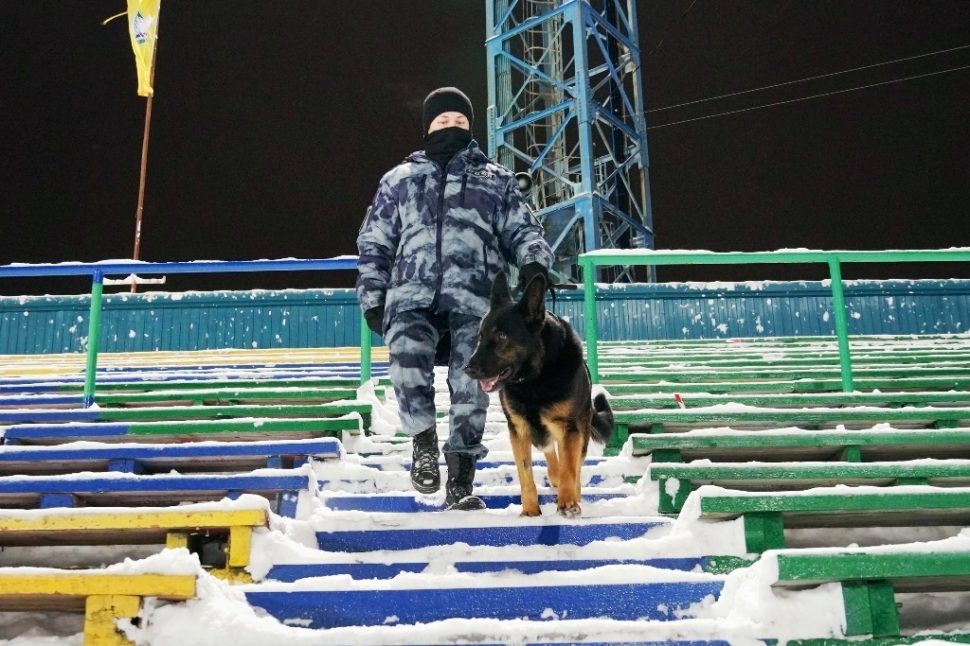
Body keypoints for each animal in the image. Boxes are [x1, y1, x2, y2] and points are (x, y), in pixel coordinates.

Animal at [464, 272, 612, 516]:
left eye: (502, 336)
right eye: (480, 336)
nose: (468, 369)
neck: (534, 379)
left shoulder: (569, 429)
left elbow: (570, 469)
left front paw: (568, 502)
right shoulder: (518, 429)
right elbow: (526, 474)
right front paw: (530, 510)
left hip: (580, 429)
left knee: (573, 463)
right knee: (549, 451)